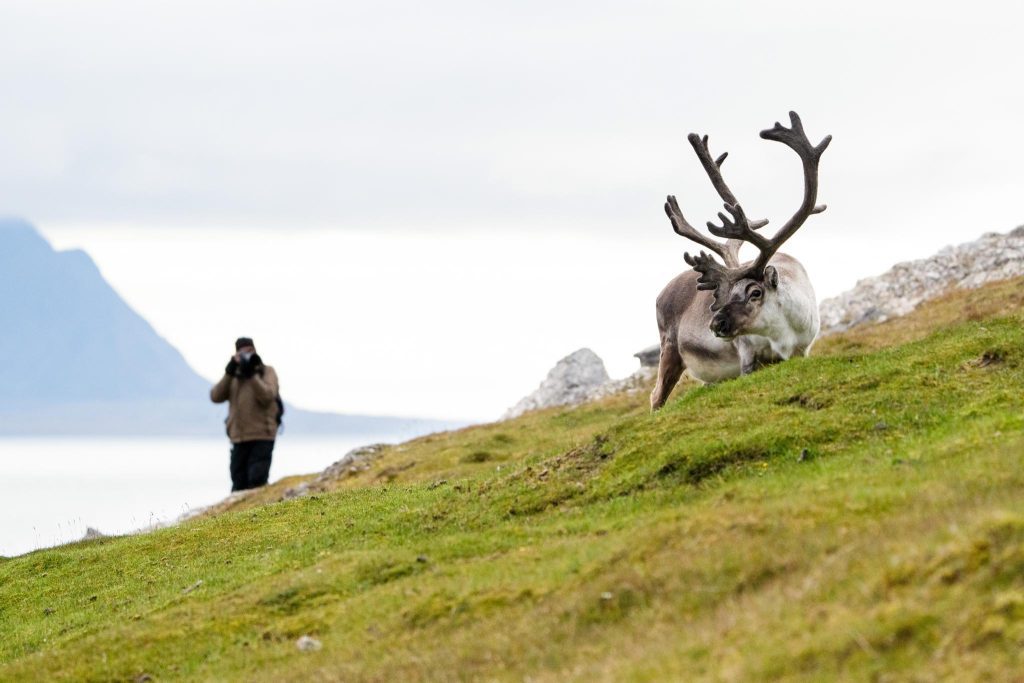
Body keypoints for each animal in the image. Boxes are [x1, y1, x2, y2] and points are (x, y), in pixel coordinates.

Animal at [650, 111, 831, 411]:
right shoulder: (747, 359)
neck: (785, 334)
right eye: (724, 294)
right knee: (656, 397)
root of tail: (661, 293)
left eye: (755, 292)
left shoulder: (802, 351)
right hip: (669, 349)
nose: (715, 324)